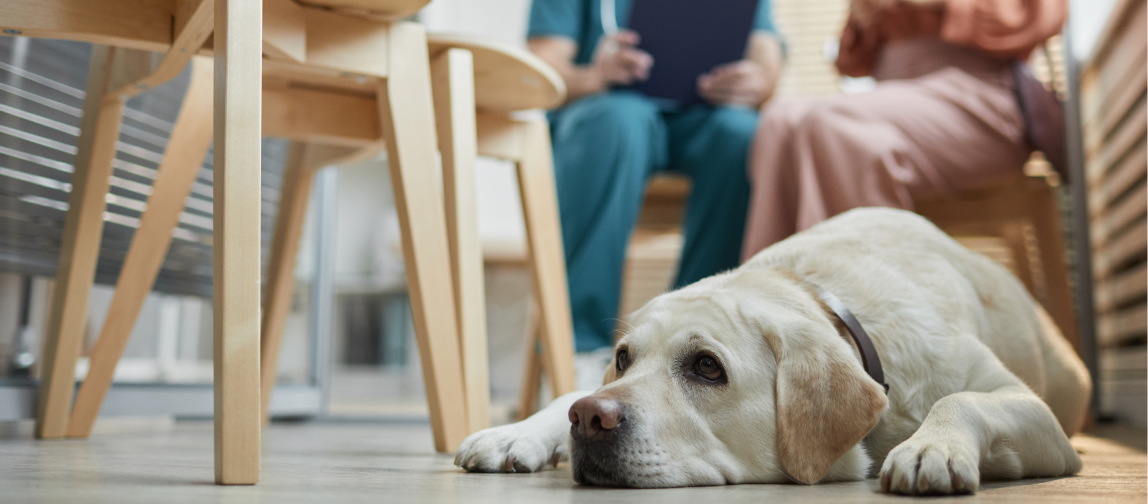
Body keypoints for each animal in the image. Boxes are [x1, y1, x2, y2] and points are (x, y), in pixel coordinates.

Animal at [452, 208, 1088, 498]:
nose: (589, 419)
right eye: (624, 358)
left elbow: (962, 397)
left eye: (706, 367)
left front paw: (933, 445)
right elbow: (568, 387)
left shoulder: (1032, 414)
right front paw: (517, 431)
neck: (818, 293)